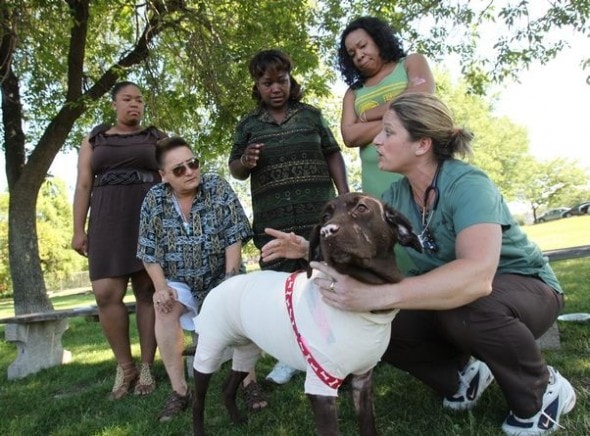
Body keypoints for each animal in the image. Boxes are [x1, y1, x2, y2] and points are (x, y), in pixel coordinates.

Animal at [193, 194, 420, 436]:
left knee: (227, 386)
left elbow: (369, 427)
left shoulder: (363, 380)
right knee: (199, 401)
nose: (327, 231)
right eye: (325, 216)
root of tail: (226, 282)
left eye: (361, 207)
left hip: (247, 349)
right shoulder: (321, 386)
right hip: (210, 350)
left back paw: (237, 419)